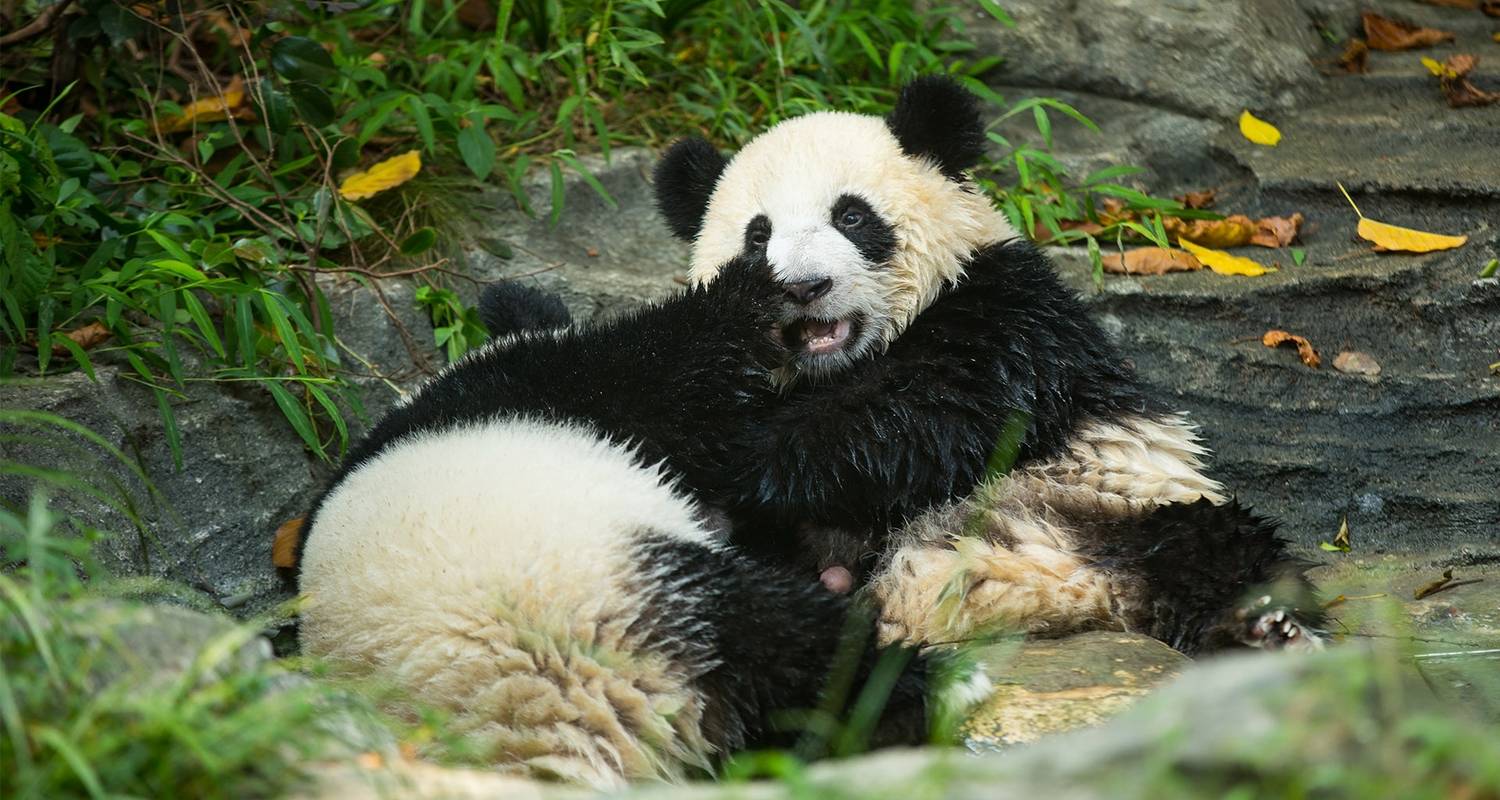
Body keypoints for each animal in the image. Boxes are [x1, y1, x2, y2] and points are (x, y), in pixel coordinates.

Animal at [295, 253, 996, 786]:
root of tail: (564, 726)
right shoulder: (564, 389)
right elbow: (673, 365)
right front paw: (754, 285)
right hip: (601, 588)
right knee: (780, 640)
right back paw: (930, 685)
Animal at [651, 75, 1320, 654]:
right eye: (758, 236)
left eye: (852, 216)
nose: (802, 287)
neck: (844, 365)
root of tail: (1077, 596)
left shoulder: (1014, 313)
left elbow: (939, 414)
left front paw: (741, 453)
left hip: (1131, 502)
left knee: (1223, 550)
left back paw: (1263, 630)